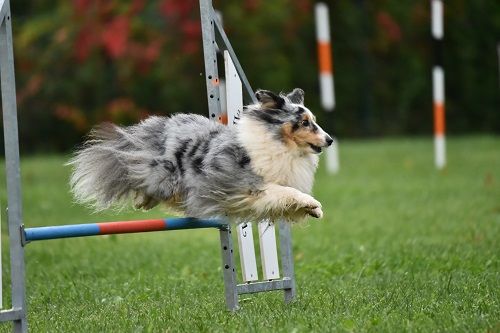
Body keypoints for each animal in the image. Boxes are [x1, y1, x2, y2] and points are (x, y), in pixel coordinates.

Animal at [67, 88, 332, 223]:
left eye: (314, 121)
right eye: (305, 123)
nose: (330, 140)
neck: (280, 143)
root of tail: (162, 125)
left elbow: (289, 199)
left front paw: (313, 210)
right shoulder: (250, 187)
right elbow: (287, 192)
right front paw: (314, 204)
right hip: (166, 177)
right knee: (145, 180)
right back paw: (142, 200)